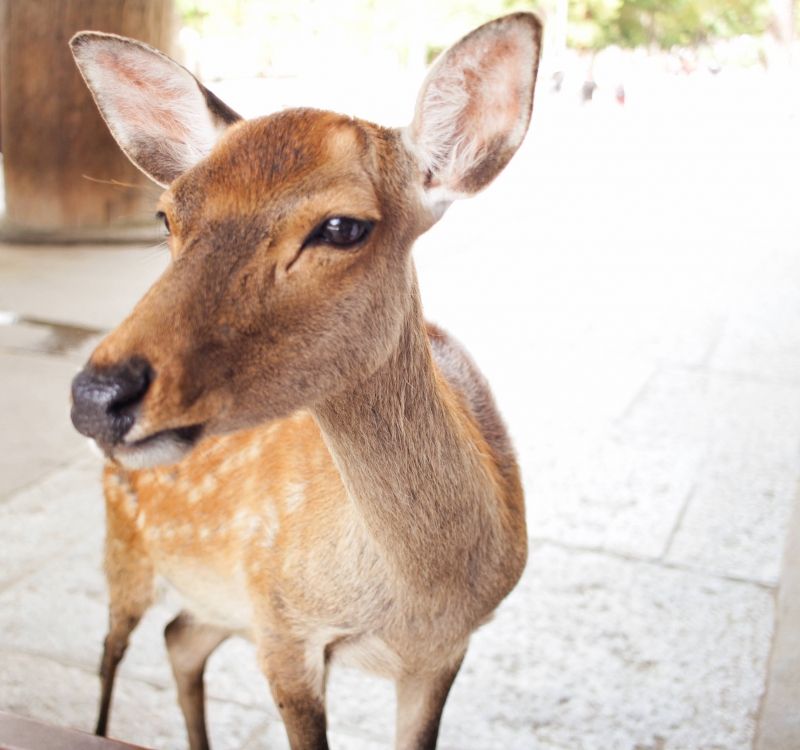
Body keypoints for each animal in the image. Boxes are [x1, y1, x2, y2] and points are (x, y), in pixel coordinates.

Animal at [69, 13, 540, 750]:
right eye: (166, 215)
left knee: (179, 637)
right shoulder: (282, 624)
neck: (417, 599)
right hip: (127, 549)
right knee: (115, 646)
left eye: (342, 226)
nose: (97, 396)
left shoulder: (445, 651)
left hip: (217, 599)